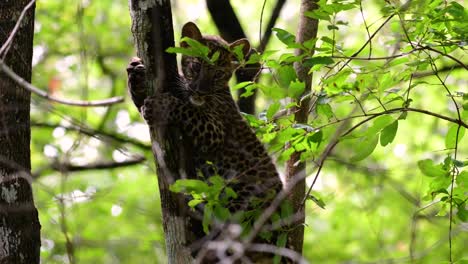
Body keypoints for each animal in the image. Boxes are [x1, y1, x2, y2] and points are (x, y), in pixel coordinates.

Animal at [128, 22, 288, 262]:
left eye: (219, 73)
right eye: (196, 66)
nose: (200, 91)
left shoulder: (215, 130)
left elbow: (187, 111)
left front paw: (162, 106)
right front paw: (136, 75)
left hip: (241, 200)